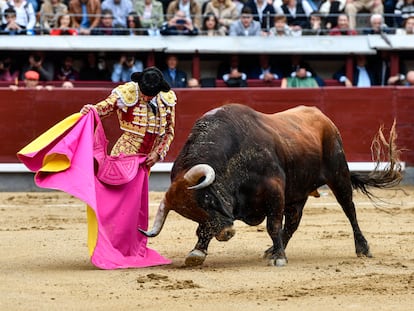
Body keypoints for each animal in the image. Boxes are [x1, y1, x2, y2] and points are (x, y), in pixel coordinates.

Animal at [140, 105, 402, 268]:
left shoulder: (274, 191)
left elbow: (273, 225)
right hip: (297, 194)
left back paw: (362, 248)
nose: (226, 234)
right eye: (191, 214)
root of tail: (324, 118)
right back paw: (272, 250)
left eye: (207, 199)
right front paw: (197, 252)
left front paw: (280, 259)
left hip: (339, 175)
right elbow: (206, 230)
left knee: (349, 210)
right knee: (294, 223)